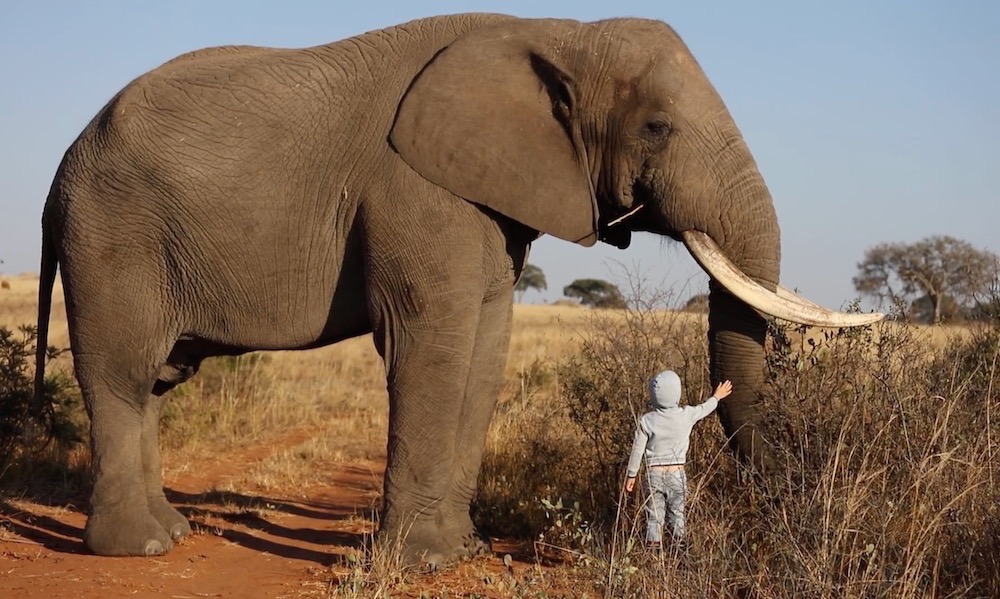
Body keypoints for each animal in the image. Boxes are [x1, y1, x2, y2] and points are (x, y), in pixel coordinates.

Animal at [31, 14, 880, 568]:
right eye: (657, 128)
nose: (786, 515)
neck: (558, 30)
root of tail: (60, 165)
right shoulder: (417, 185)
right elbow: (431, 341)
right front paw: (420, 565)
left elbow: (486, 346)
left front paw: (458, 550)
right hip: (113, 233)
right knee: (122, 375)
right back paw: (139, 547)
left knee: (149, 385)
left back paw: (170, 534)